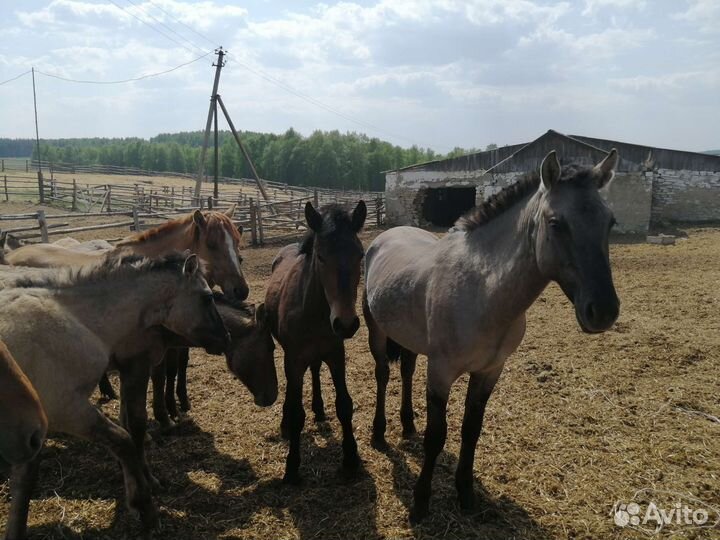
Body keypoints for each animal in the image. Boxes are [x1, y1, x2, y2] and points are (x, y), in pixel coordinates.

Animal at [265, 200, 366, 484]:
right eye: (321, 256)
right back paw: (286, 422)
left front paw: (351, 458)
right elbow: (297, 413)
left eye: (360, 255)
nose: (346, 323)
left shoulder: (336, 354)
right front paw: (292, 466)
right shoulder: (295, 358)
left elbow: (344, 405)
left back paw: (319, 409)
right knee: (292, 388)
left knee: (315, 369)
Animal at [363, 150, 621, 521]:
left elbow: (471, 430)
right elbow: (437, 437)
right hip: (377, 331)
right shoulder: (441, 372)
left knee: (407, 371)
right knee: (383, 374)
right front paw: (421, 502)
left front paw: (466, 493)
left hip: (409, 337)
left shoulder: (489, 371)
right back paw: (379, 432)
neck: (482, 290)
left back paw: (408, 424)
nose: (603, 311)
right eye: (556, 223)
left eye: (610, 222)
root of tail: (386, 235)